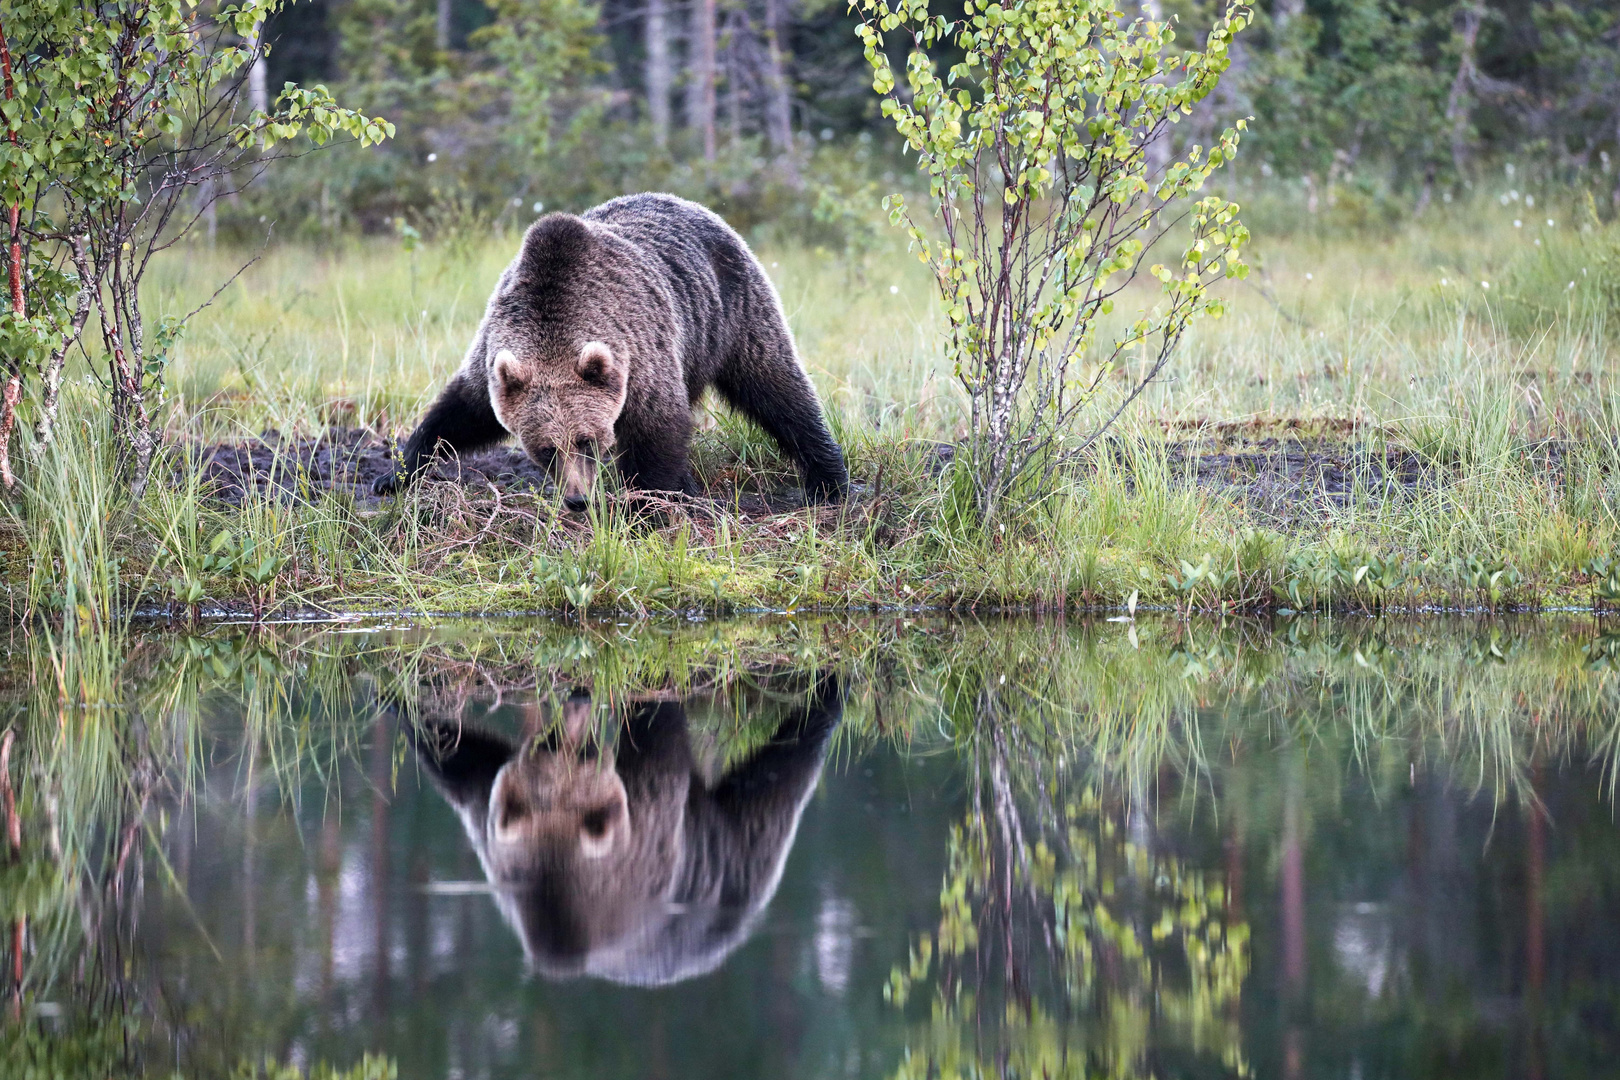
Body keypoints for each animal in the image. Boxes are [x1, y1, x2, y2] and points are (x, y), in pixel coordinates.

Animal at [369, 193, 848, 511]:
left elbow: (658, 430)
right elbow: (459, 413)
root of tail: (690, 203)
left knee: (777, 386)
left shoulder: (639, 355)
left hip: (733, 313)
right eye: (546, 449)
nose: (578, 500)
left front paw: (651, 505)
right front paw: (393, 476)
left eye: (586, 440)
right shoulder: (494, 356)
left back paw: (829, 479)